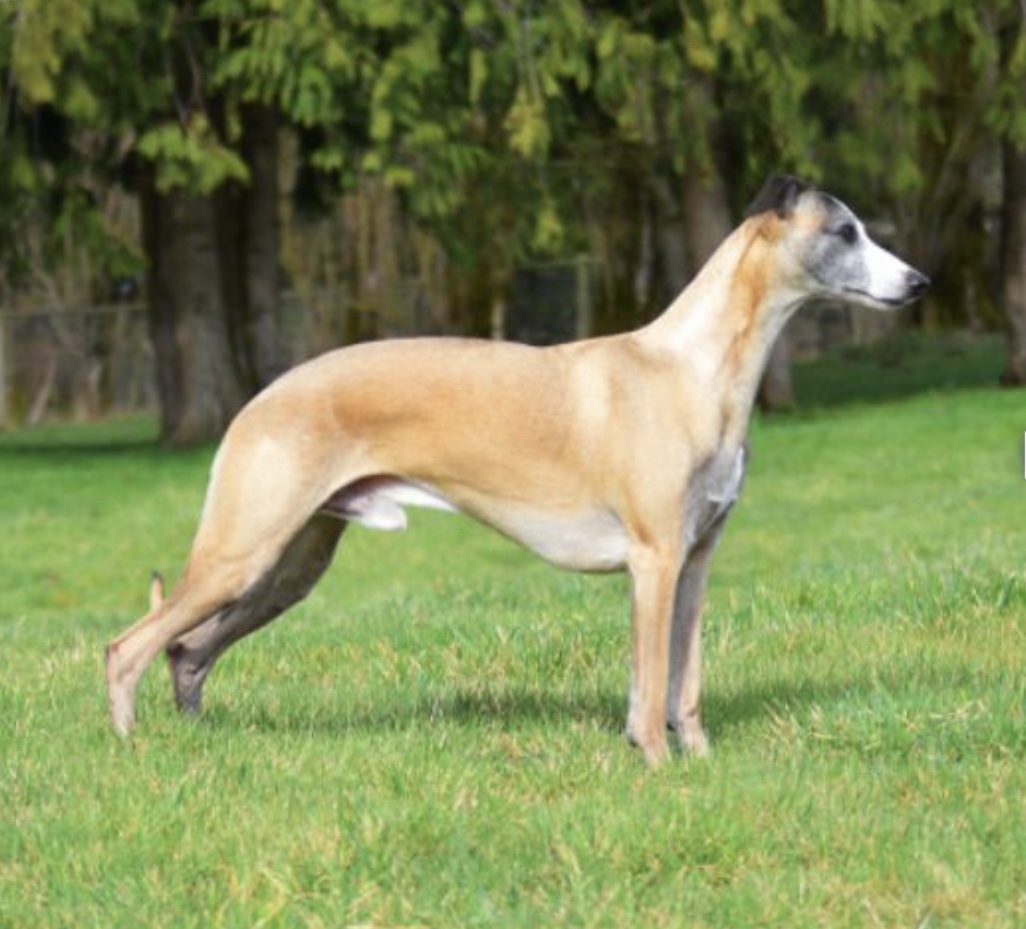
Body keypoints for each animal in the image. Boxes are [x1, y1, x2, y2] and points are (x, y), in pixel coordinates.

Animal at [106, 175, 928, 764]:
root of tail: (257, 400)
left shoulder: (694, 560)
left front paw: (699, 760)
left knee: (186, 651)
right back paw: (130, 746)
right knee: (127, 647)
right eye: (845, 230)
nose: (920, 282)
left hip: (288, 565)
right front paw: (657, 764)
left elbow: (684, 681)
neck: (688, 367)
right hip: (244, 551)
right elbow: (650, 684)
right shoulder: (654, 560)